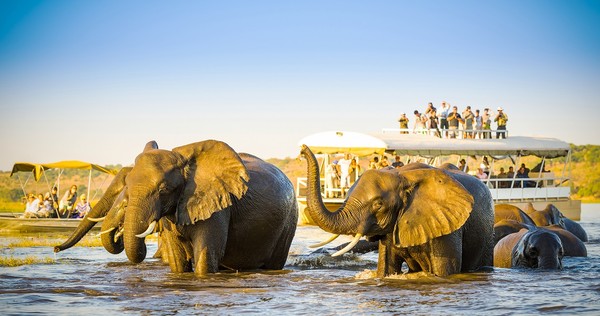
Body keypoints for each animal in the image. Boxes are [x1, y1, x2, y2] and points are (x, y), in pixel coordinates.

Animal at [298, 146, 492, 276]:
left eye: (378, 205)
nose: (302, 149)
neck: (403, 176)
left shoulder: (447, 226)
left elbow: (444, 270)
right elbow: (387, 267)